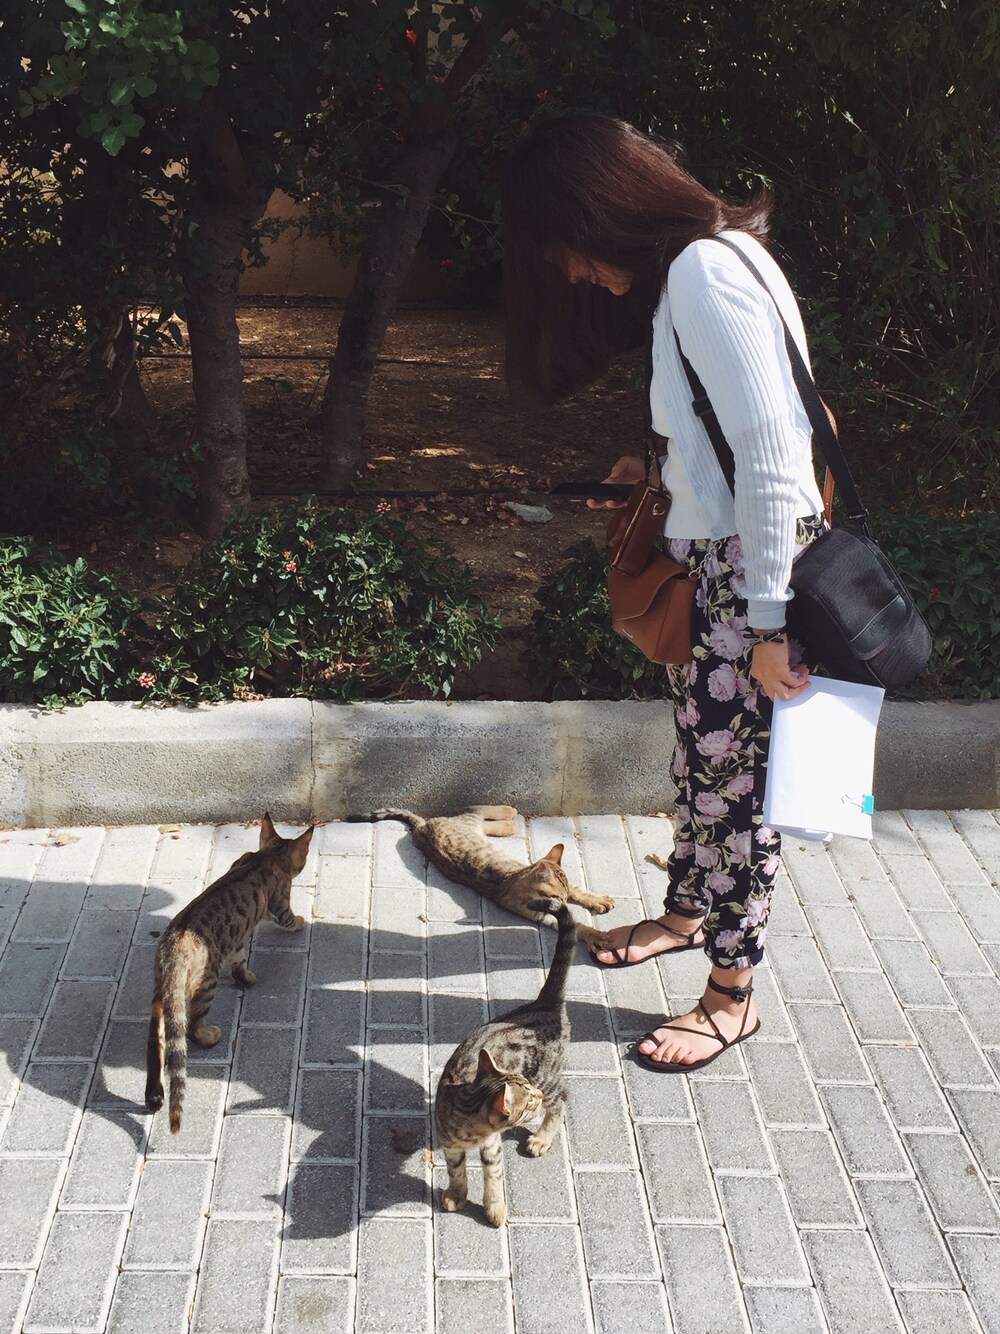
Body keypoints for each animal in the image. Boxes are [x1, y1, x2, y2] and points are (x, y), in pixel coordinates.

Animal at [144, 814, 313, 1132]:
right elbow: (286, 919)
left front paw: (243, 976)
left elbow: (240, 958)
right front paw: (300, 921)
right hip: (206, 983)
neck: (265, 856)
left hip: (161, 995)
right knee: (191, 1027)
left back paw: (154, 1093)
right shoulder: (279, 903)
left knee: (157, 1038)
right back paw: (209, 1035)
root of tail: (173, 951)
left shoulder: (236, 940)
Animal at [365, 805, 613, 950]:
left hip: (470, 827)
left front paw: (597, 900)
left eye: (562, 897)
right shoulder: (544, 916)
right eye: (555, 897)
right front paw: (596, 935)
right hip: (467, 822)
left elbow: (578, 891)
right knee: (477, 809)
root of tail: (422, 827)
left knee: (481, 817)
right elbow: (578, 926)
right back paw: (508, 815)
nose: (563, 904)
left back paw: (508, 821)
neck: (517, 878)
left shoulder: (564, 890)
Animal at [434, 895, 576, 1227]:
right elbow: (456, 1171)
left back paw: (542, 1138)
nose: (536, 1095)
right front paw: (456, 1194)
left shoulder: (492, 1147)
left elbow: (494, 1178)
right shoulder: (450, 1145)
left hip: (547, 1077)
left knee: (562, 1100)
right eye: (528, 1102)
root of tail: (545, 1004)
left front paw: (495, 1207)